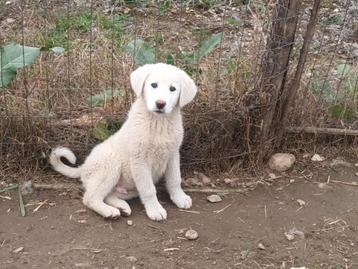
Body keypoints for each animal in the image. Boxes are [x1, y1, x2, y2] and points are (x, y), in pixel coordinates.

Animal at [49, 62, 197, 220]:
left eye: (172, 89)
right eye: (154, 85)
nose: (160, 104)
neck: (159, 122)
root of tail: (83, 167)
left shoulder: (173, 155)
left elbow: (175, 180)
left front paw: (180, 198)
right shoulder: (140, 160)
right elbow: (149, 189)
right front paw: (155, 209)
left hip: (129, 188)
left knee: (108, 195)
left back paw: (122, 207)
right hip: (110, 164)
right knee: (90, 198)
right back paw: (109, 211)